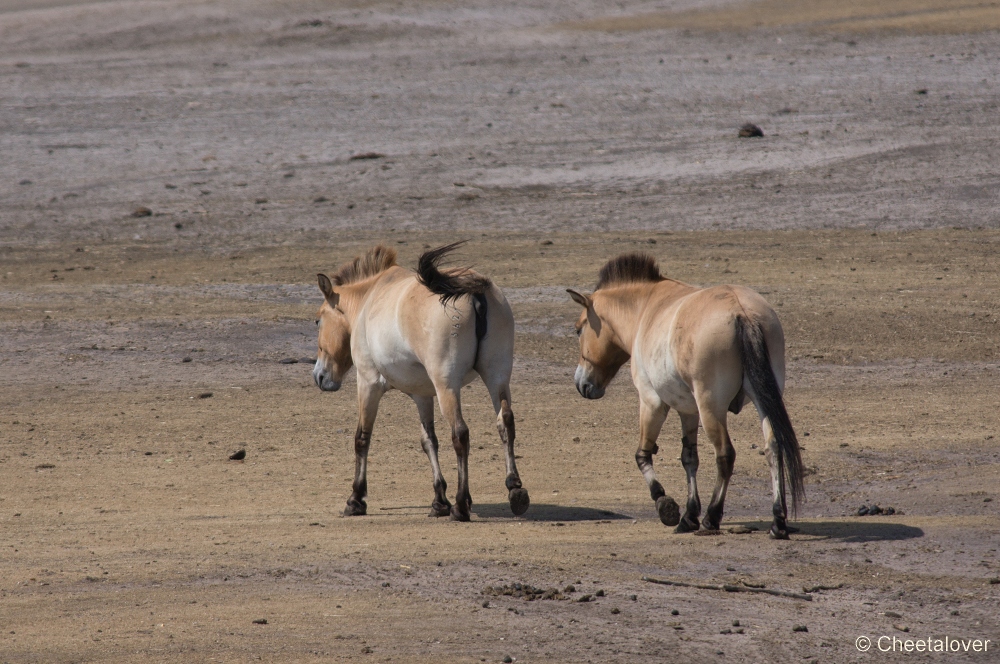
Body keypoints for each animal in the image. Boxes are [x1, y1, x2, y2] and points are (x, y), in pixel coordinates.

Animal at [312, 241, 532, 520]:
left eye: (318, 320)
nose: (319, 376)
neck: (369, 299)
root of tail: (474, 293)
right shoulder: (422, 395)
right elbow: (429, 441)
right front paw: (439, 501)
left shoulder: (368, 383)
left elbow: (362, 438)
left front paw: (356, 500)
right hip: (497, 377)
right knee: (505, 423)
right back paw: (515, 489)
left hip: (447, 386)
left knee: (460, 434)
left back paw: (461, 506)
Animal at [572, 254, 804, 540]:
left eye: (578, 329)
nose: (581, 383)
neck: (645, 308)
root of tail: (741, 312)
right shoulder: (688, 411)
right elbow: (689, 458)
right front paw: (689, 515)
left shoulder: (651, 402)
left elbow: (642, 454)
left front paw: (665, 504)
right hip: (764, 402)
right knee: (773, 449)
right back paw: (777, 521)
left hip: (711, 409)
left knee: (725, 455)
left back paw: (712, 518)